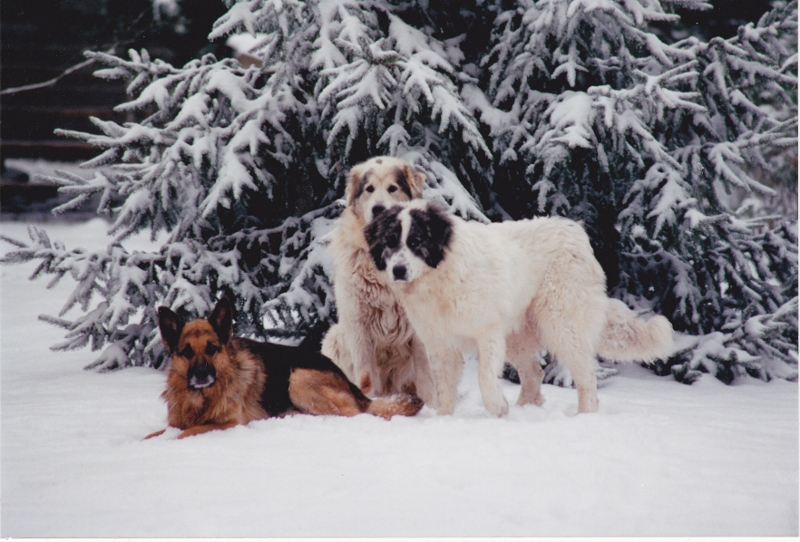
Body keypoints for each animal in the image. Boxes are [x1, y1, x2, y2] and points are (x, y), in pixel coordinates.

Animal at [145, 298, 424, 442]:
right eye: (186, 352)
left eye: (212, 348)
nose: (201, 375)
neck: (201, 398)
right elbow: (157, 434)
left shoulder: (229, 423)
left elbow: (186, 433)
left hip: (298, 378)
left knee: (354, 413)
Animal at [320, 157, 438, 408]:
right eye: (369, 189)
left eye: (393, 188)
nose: (378, 209)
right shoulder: (358, 326)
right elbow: (366, 376)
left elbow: (425, 375)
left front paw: (432, 408)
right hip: (334, 338)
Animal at [364, 202, 676, 418]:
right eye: (390, 242)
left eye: (415, 242)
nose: (398, 270)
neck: (440, 274)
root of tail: (574, 230)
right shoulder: (440, 343)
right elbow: (443, 386)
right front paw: (444, 419)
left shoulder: (487, 333)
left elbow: (484, 377)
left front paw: (497, 407)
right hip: (519, 334)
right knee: (534, 374)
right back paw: (526, 409)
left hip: (562, 325)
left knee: (585, 377)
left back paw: (584, 416)